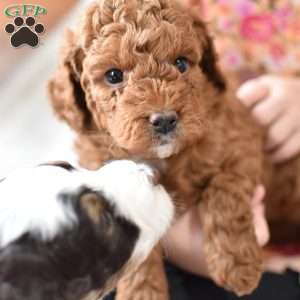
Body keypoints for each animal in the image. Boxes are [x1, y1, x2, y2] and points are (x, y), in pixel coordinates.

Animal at [48, 0, 300, 296]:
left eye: (181, 63)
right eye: (113, 75)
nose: (165, 119)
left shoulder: (242, 144)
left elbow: (224, 190)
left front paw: (237, 265)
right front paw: (142, 293)